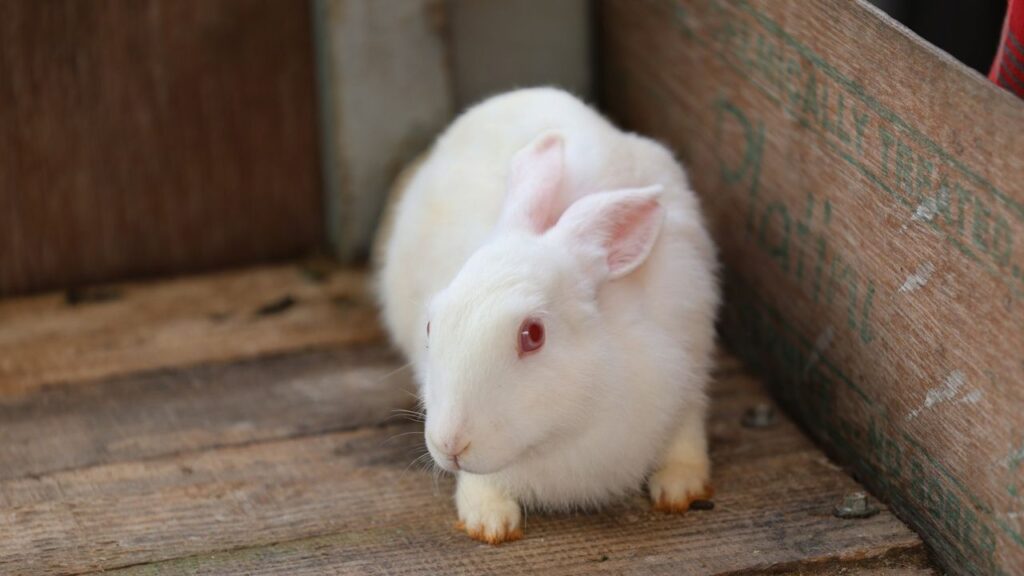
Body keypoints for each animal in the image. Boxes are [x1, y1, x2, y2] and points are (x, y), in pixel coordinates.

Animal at [375, 87, 719, 544]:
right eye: (430, 325)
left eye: (533, 335)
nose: (451, 445)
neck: (565, 429)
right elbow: (481, 482)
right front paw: (489, 521)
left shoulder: (687, 372)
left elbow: (687, 436)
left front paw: (681, 487)